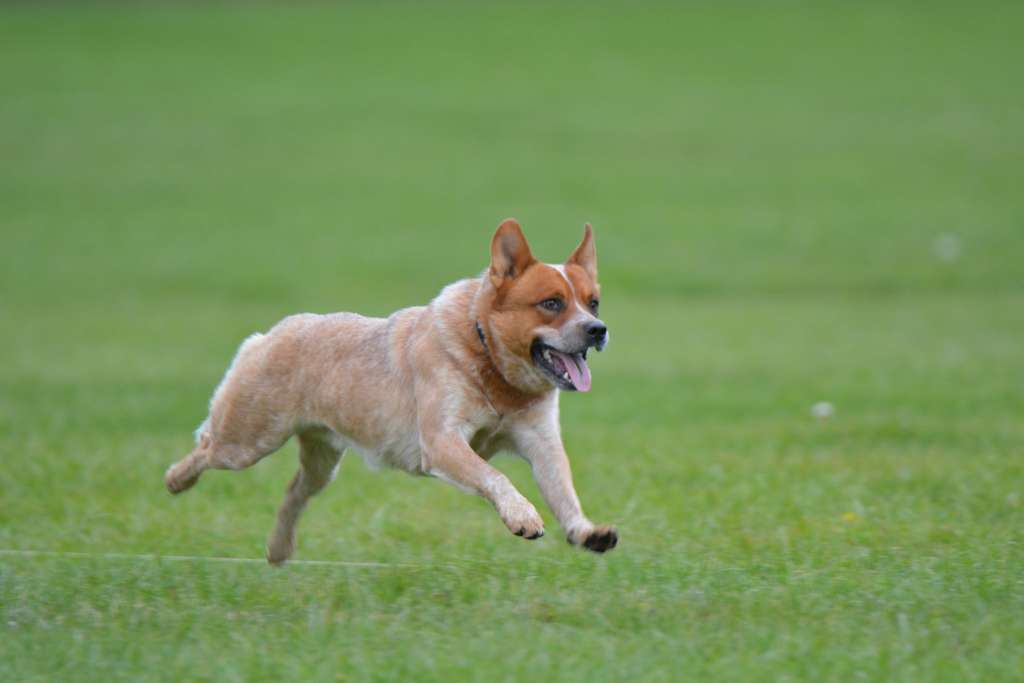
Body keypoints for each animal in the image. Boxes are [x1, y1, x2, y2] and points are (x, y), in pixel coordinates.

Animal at [163, 220, 618, 565]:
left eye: (593, 302)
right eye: (551, 303)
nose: (598, 330)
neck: (492, 364)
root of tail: (276, 331)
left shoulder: (541, 441)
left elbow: (563, 490)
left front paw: (586, 532)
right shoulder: (442, 441)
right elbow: (496, 475)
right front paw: (523, 517)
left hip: (322, 460)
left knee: (295, 491)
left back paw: (279, 550)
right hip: (248, 439)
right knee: (207, 446)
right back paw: (176, 480)